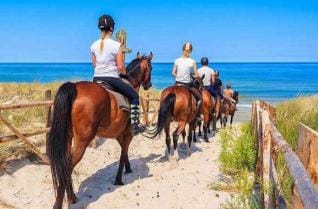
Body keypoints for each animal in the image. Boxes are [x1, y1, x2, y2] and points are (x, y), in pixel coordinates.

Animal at [47, 52, 154, 209]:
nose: (149, 85)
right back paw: (60, 203)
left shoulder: (119, 134)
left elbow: (124, 152)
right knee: (68, 167)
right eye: (151, 68)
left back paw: (72, 197)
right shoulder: (128, 133)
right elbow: (123, 153)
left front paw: (127, 169)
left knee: (65, 164)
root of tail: (75, 87)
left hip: (68, 138)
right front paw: (119, 179)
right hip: (83, 140)